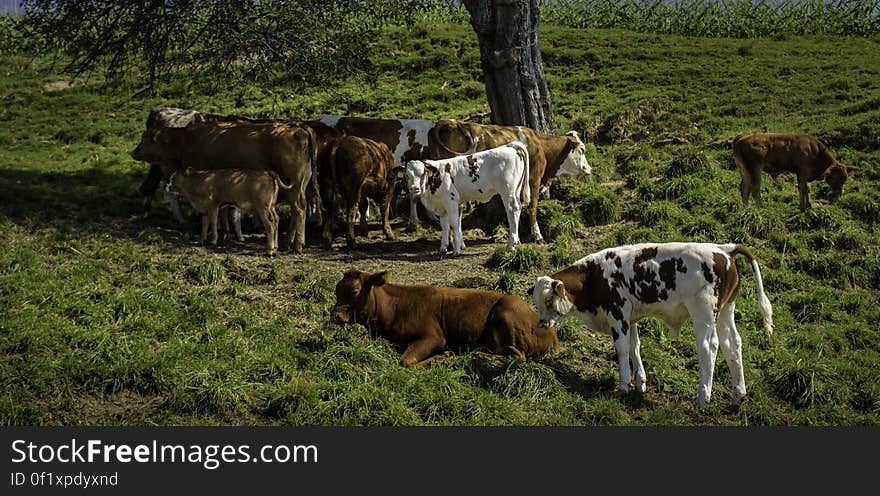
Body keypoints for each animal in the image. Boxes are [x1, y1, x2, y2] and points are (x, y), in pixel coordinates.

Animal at [131, 119, 316, 252]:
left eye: (146, 138)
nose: (133, 152)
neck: (186, 140)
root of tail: (299, 130)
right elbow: (224, 210)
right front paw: (225, 233)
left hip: (293, 185)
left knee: (298, 208)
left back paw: (296, 245)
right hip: (301, 184)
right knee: (298, 208)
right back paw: (287, 242)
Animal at [330, 270, 556, 366]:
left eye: (355, 291)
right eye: (336, 290)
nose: (335, 315)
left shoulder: (434, 337)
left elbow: (405, 361)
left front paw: (443, 357)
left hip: (507, 316)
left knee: (518, 356)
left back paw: (479, 355)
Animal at [426, 120, 592, 244]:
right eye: (582, 150)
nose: (589, 168)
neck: (540, 145)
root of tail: (448, 122)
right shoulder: (534, 179)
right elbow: (532, 207)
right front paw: (537, 236)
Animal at [528, 241, 768, 406]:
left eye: (548, 301)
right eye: (537, 303)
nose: (541, 324)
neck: (594, 276)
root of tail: (724, 249)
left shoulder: (618, 314)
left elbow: (622, 349)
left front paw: (624, 386)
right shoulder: (630, 318)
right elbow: (635, 346)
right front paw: (640, 383)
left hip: (704, 314)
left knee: (709, 348)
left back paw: (702, 397)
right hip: (727, 310)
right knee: (732, 345)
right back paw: (738, 394)